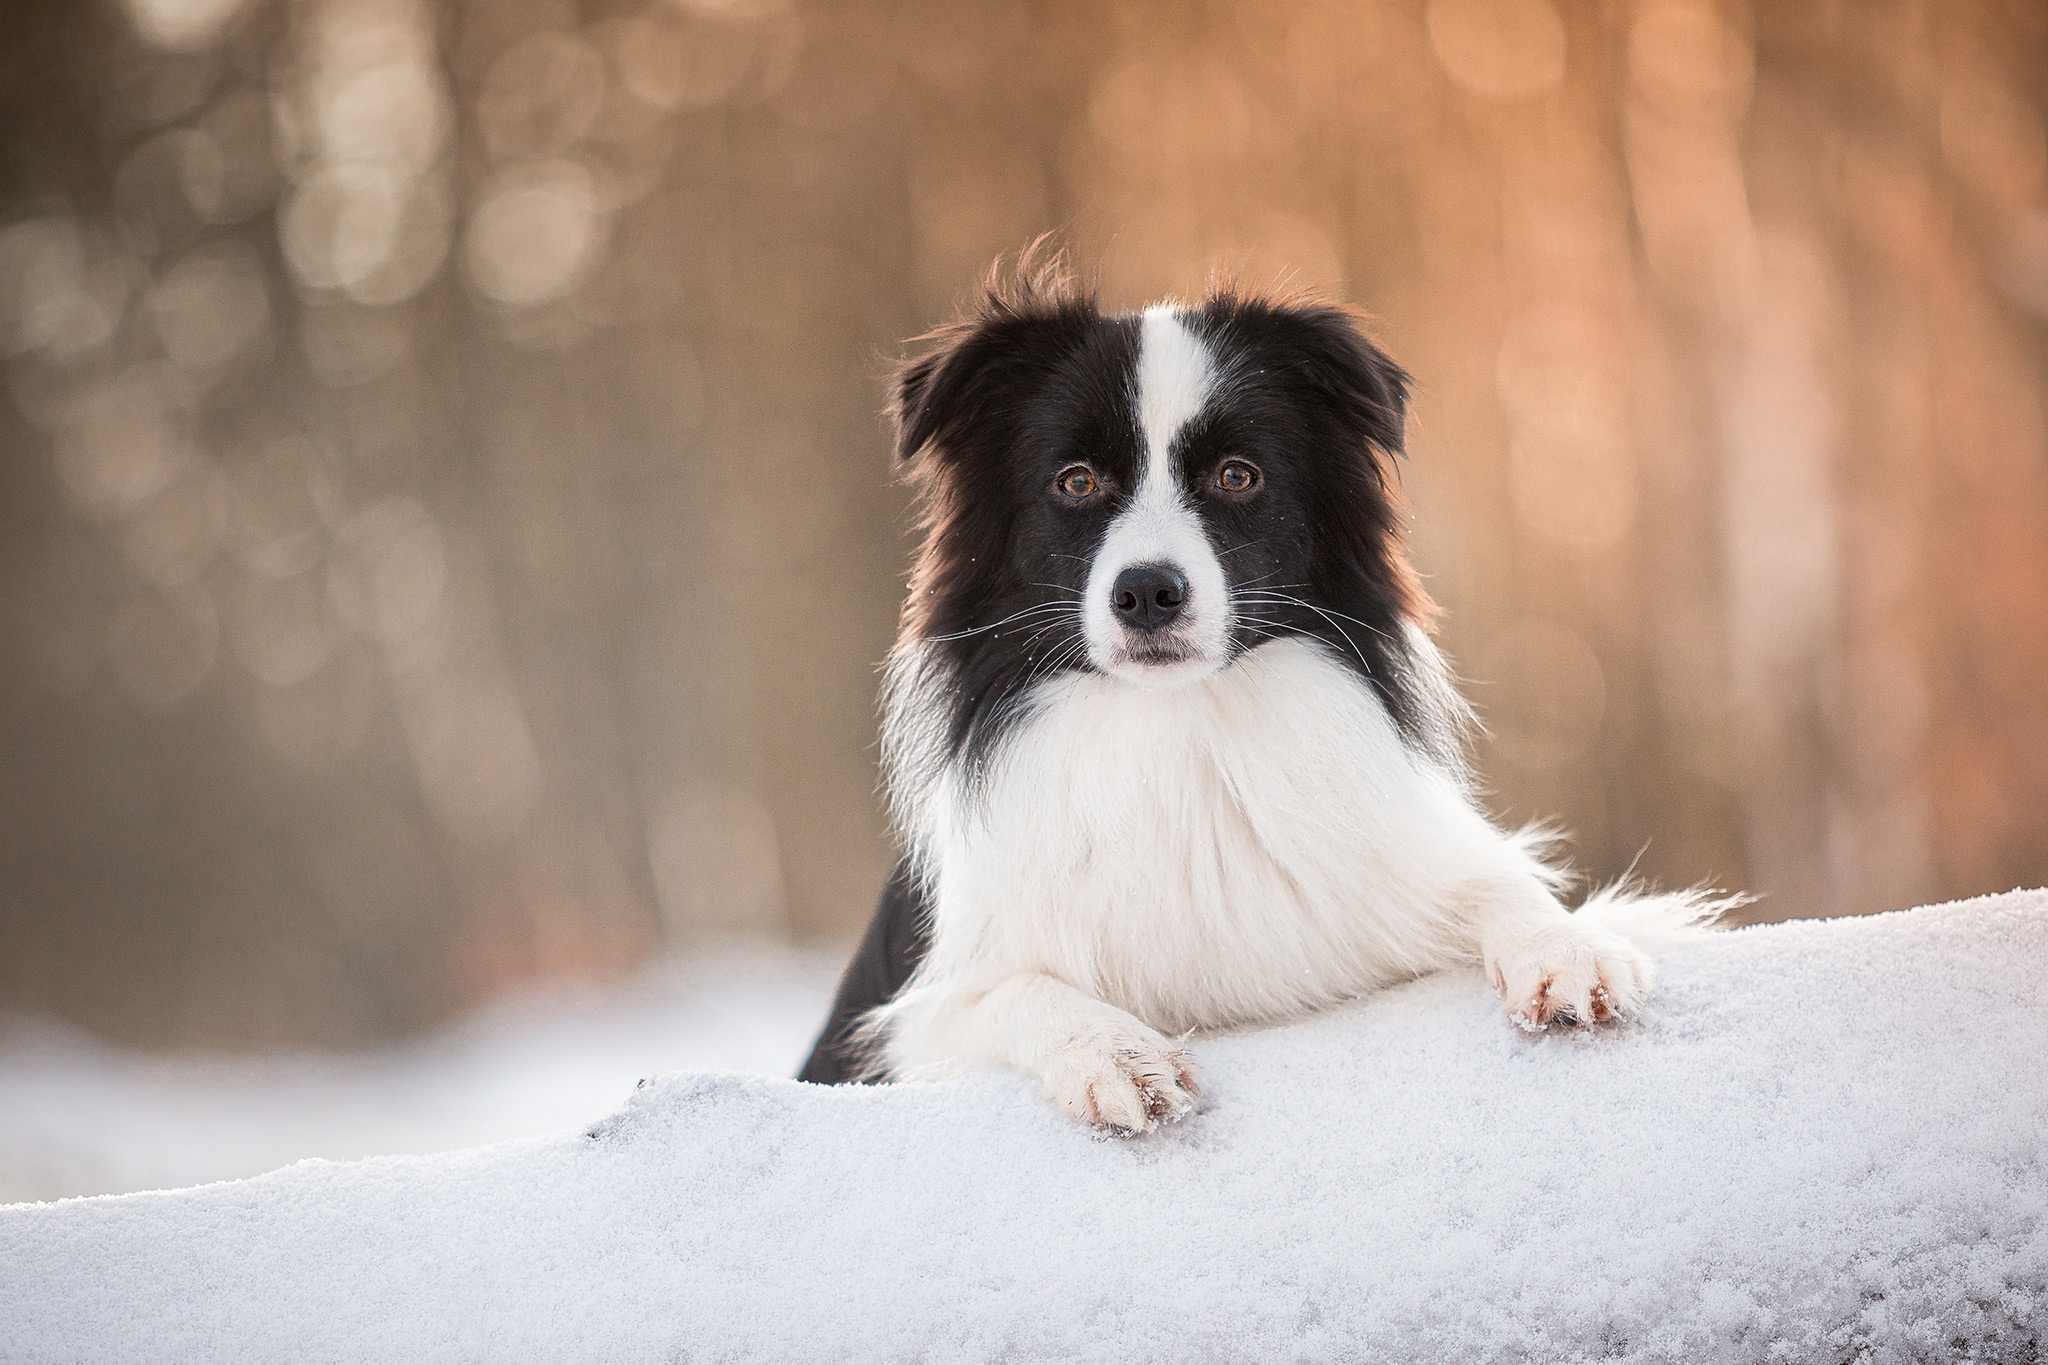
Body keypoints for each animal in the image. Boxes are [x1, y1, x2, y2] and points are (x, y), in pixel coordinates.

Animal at [798, 261, 1728, 1137]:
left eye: (1238, 475)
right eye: (1075, 482)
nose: (1147, 592)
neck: (1180, 729)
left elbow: (1496, 884)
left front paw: (1566, 949)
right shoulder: (921, 1012)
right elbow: (1012, 993)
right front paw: (1116, 1054)